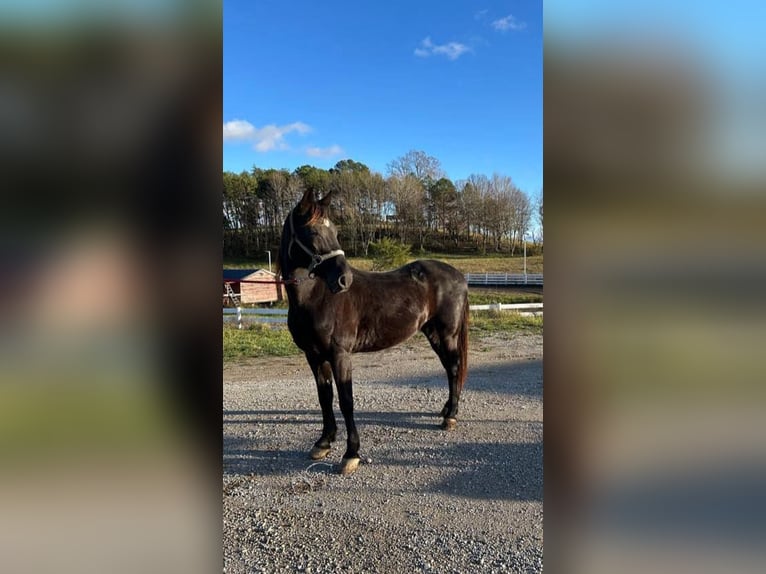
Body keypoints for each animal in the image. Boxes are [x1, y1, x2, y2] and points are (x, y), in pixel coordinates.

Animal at [276, 190, 468, 476]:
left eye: (335, 230)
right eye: (312, 232)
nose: (344, 280)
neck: (316, 297)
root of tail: (459, 276)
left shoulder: (340, 354)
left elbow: (346, 400)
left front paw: (351, 454)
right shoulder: (314, 355)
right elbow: (324, 397)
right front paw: (323, 442)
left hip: (448, 334)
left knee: (454, 368)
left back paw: (451, 416)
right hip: (433, 333)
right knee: (448, 369)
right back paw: (445, 410)